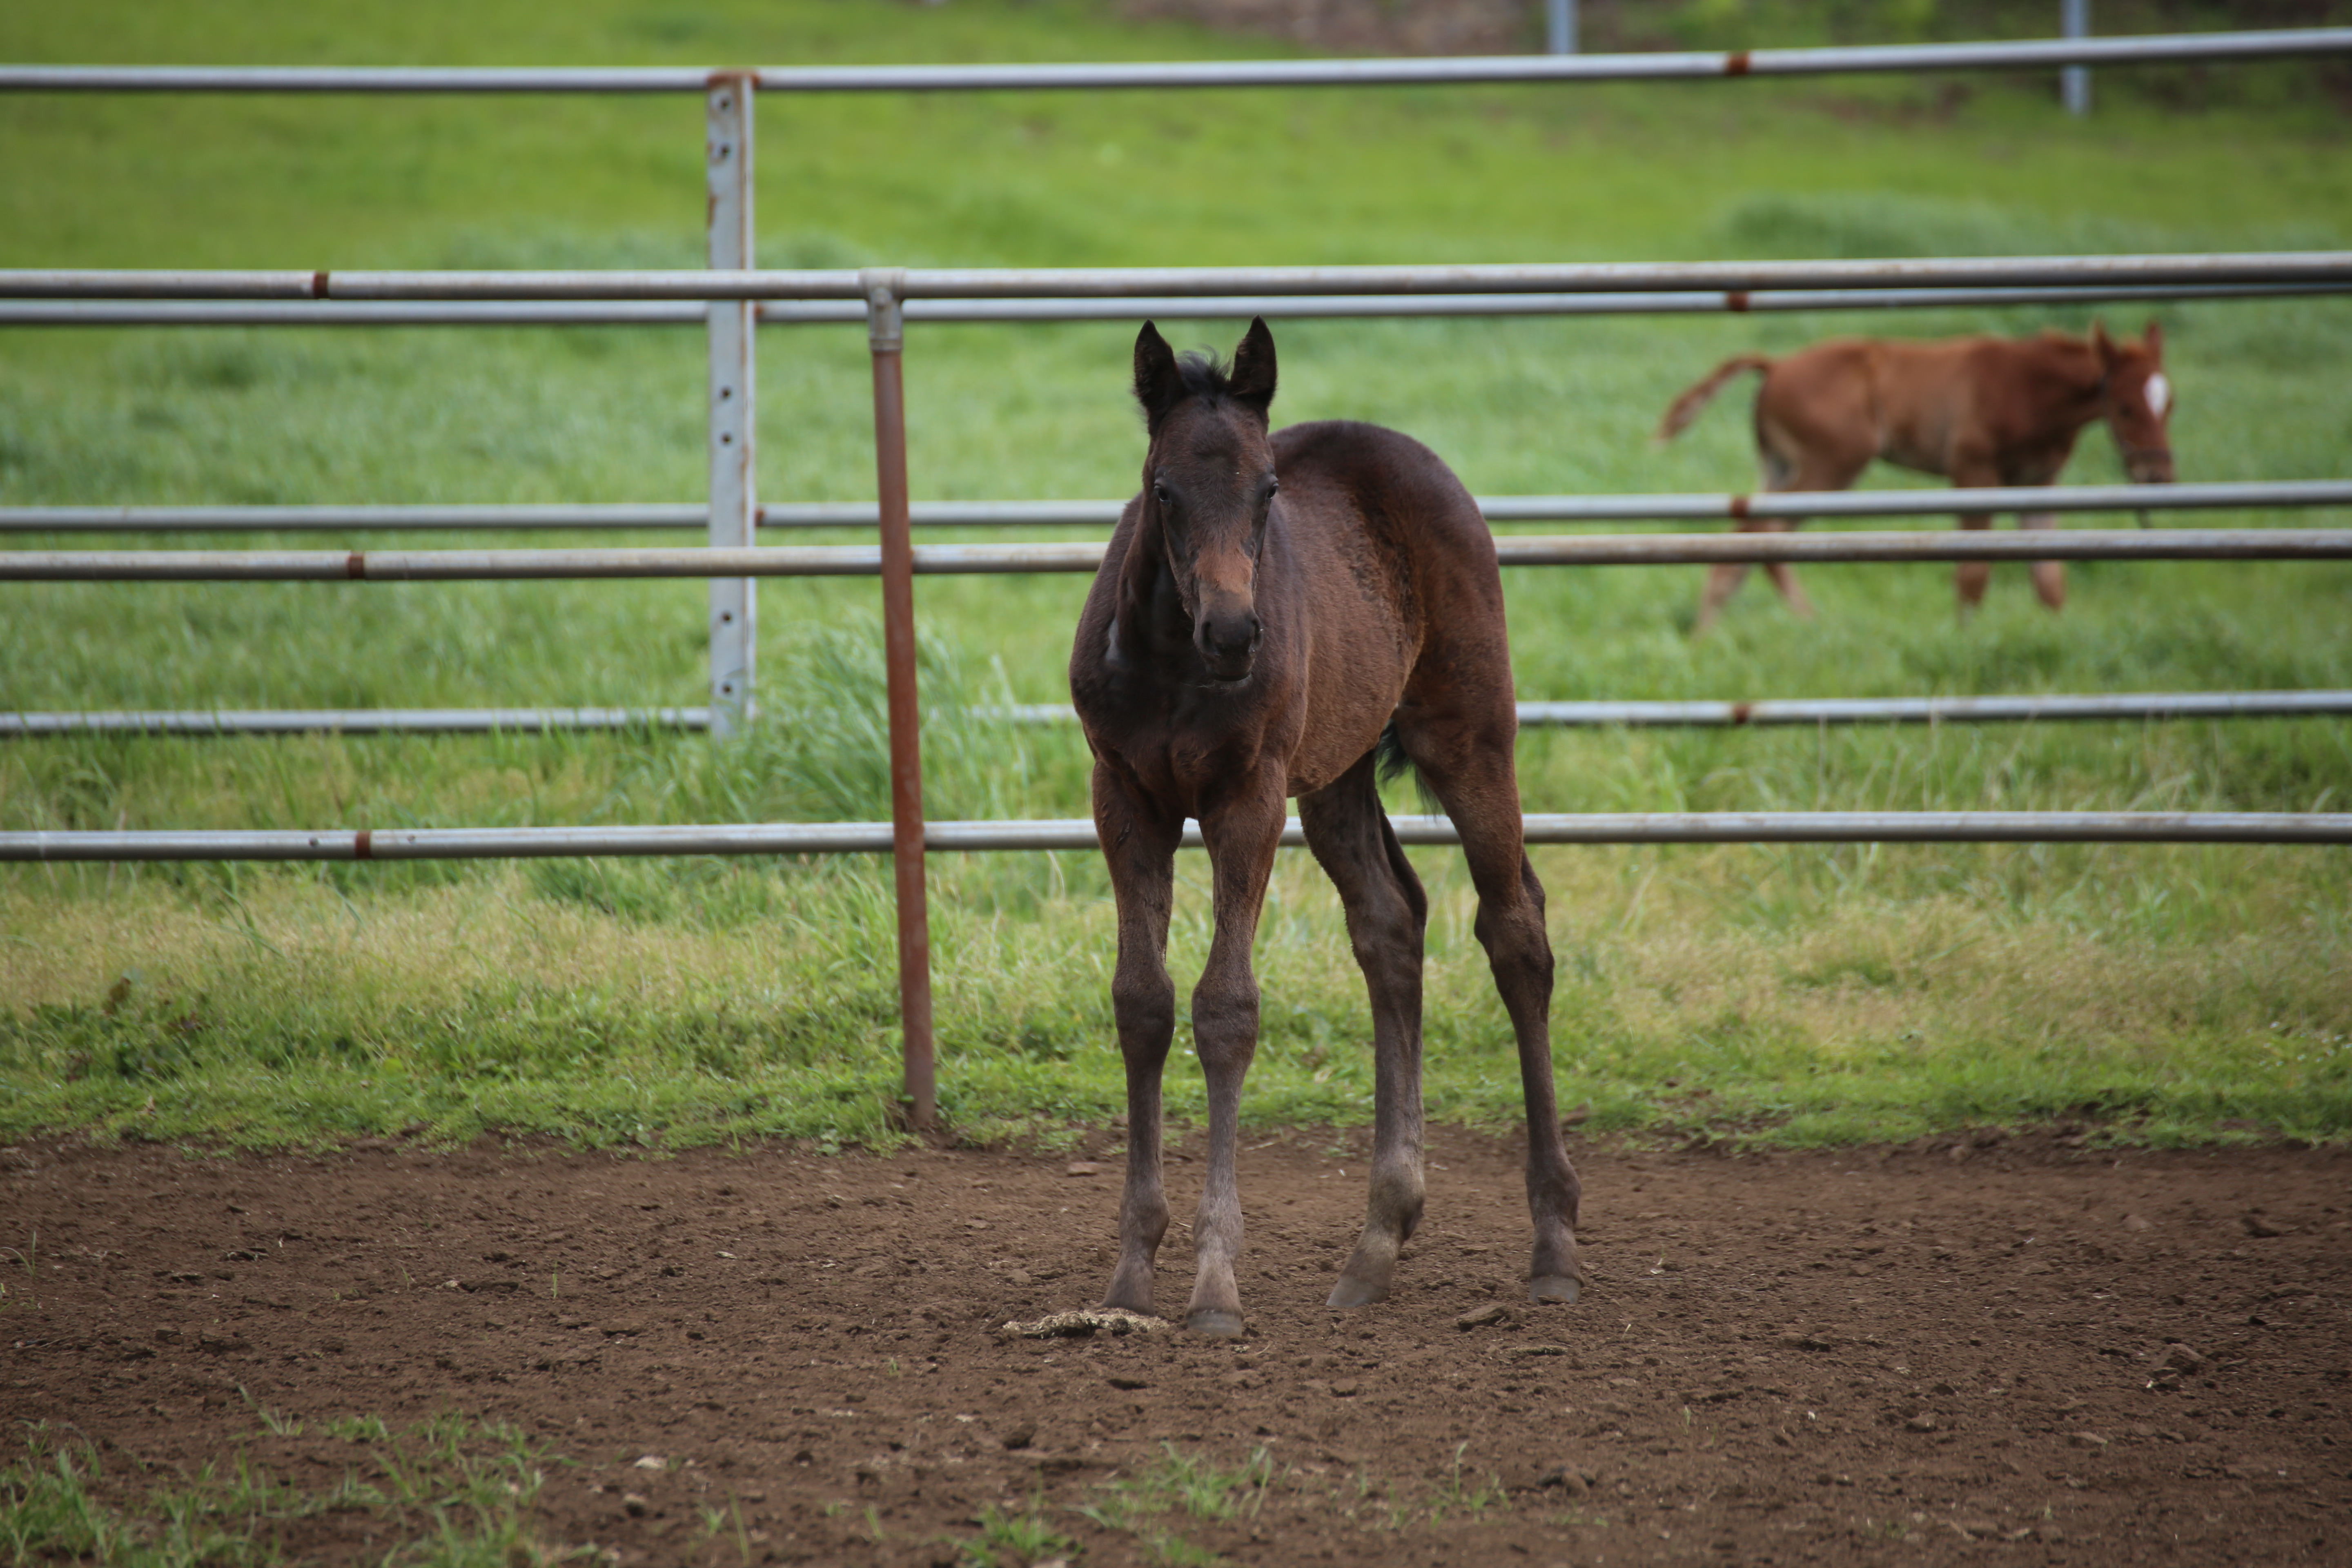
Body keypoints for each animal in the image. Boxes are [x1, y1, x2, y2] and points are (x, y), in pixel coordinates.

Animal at [1072, 315, 1580, 1335]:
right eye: (1162, 489)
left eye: (1268, 491)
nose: (1236, 634)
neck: (1172, 659)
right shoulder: (1125, 796)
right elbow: (1142, 1002)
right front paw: (1131, 1274)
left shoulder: (1248, 798)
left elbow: (1226, 1009)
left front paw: (1215, 1285)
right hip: (1339, 773)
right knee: (1391, 922)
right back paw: (1377, 1244)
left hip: (1469, 732)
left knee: (1515, 930)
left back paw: (1552, 1243)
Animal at [1665, 322, 2173, 635]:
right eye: (2125, 407)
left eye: (2171, 403)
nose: (2159, 473)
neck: (2024, 385)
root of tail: (1776, 366)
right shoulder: (1973, 471)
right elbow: (1973, 570)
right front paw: (1967, 638)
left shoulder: (2040, 482)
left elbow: (2049, 577)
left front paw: (2057, 637)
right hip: (1830, 467)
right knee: (1766, 533)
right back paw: (1803, 622)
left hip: (1783, 468)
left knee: (1747, 538)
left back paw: (1718, 629)